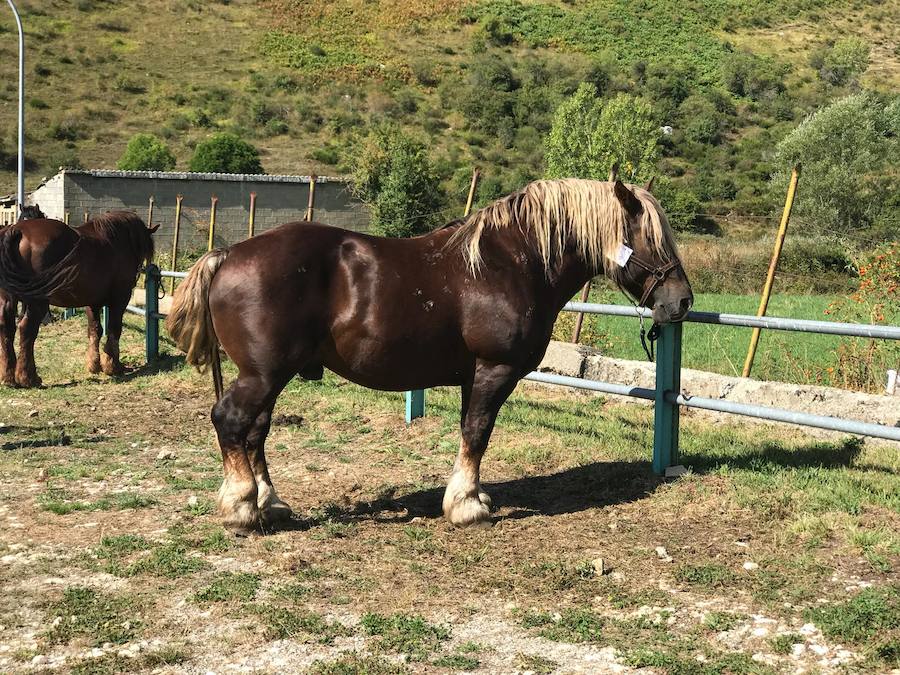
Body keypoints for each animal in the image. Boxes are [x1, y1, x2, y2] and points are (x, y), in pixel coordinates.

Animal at [0, 211, 158, 390]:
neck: (118, 241)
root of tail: (16, 230)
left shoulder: (92, 302)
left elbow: (95, 330)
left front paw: (94, 365)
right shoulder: (120, 299)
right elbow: (114, 329)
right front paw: (113, 366)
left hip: (9, 299)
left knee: (6, 328)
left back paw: (8, 378)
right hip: (38, 302)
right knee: (26, 329)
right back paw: (28, 378)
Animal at [165, 178, 692, 532]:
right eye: (651, 238)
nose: (682, 301)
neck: (508, 264)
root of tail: (228, 255)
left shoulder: (471, 376)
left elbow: (469, 433)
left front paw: (470, 495)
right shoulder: (494, 371)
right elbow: (477, 433)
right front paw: (467, 506)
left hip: (268, 375)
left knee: (255, 430)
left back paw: (269, 504)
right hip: (262, 374)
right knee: (231, 421)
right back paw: (241, 508)